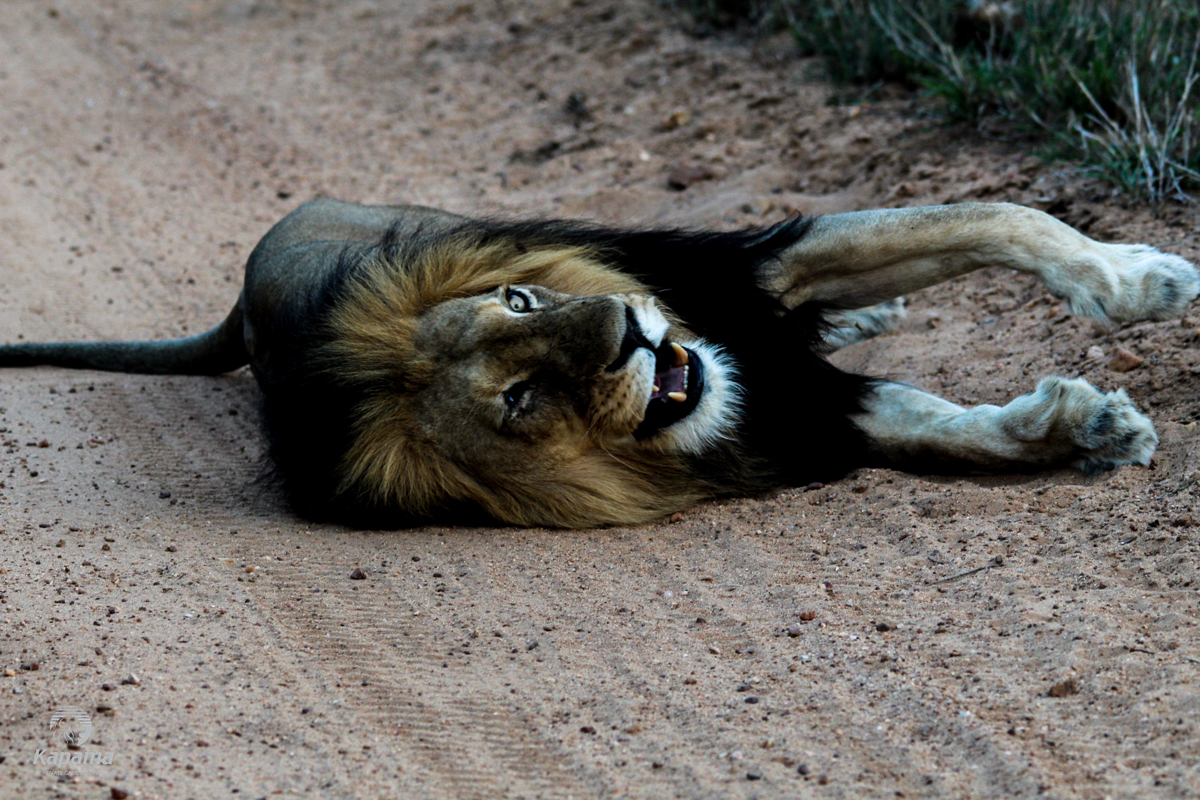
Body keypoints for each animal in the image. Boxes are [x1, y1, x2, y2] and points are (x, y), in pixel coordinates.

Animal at [2, 199, 1196, 527]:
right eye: (520, 397)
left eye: (521, 300)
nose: (628, 330)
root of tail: (248, 308)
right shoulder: (806, 417)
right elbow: (956, 430)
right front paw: (1090, 429)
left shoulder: (753, 275)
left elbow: (998, 217)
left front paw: (1142, 280)